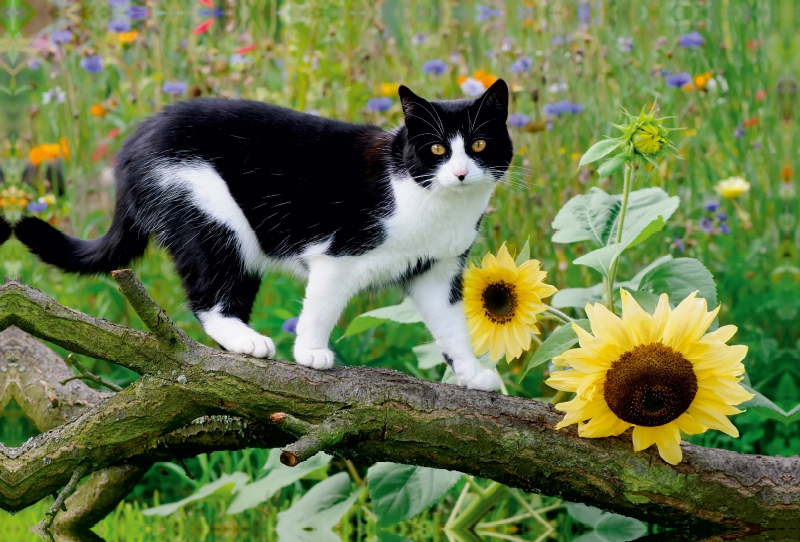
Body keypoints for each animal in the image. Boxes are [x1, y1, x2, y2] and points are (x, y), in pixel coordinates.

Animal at [17, 79, 512, 392]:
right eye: (437, 149)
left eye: (479, 145)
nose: (461, 173)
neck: (430, 202)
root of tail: (133, 144)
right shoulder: (338, 255)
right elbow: (321, 306)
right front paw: (310, 352)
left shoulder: (438, 271)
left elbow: (452, 326)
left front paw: (472, 374)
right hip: (209, 214)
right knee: (209, 295)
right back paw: (248, 341)